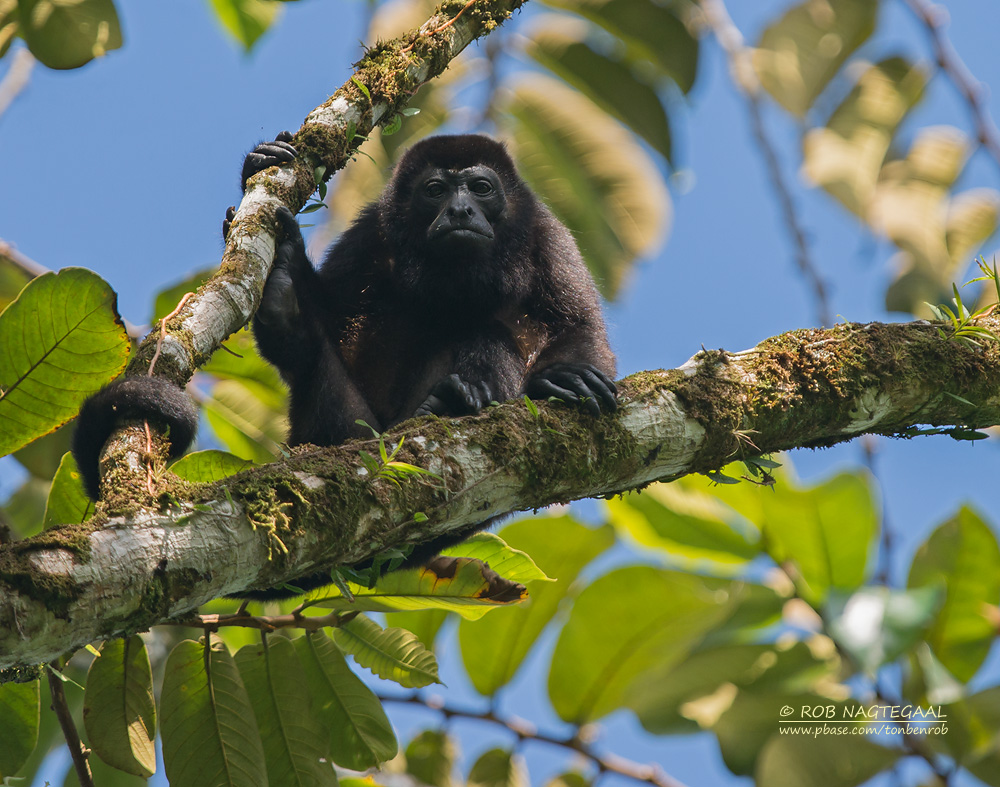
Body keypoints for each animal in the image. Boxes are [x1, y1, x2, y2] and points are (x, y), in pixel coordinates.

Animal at [70, 131, 612, 596]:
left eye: (481, 188)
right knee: (315, 363)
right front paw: (262, 162)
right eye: (435, 190)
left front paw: (567, 377)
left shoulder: (546, 234)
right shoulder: (371, 231)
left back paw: (456, 400)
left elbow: (578, 324)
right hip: (345, 426)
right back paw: (286, 302)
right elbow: (332, 315)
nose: (460, 209)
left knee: (489, 335)